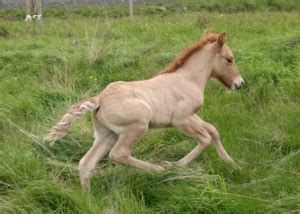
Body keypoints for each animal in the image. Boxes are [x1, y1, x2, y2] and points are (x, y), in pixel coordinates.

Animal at [44, 30, 244, 188]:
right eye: (229, 59)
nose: (240, 83)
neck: (188, 79)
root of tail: (100, 99)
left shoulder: (191, 116)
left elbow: (213, 130)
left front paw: (231, 163)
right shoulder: (181, 120)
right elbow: (204, 139)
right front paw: (173, 166)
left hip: (107, 134)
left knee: (86, 164)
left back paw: (88, 199)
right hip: (138, 125)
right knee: (118, 154)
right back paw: (158, 170)